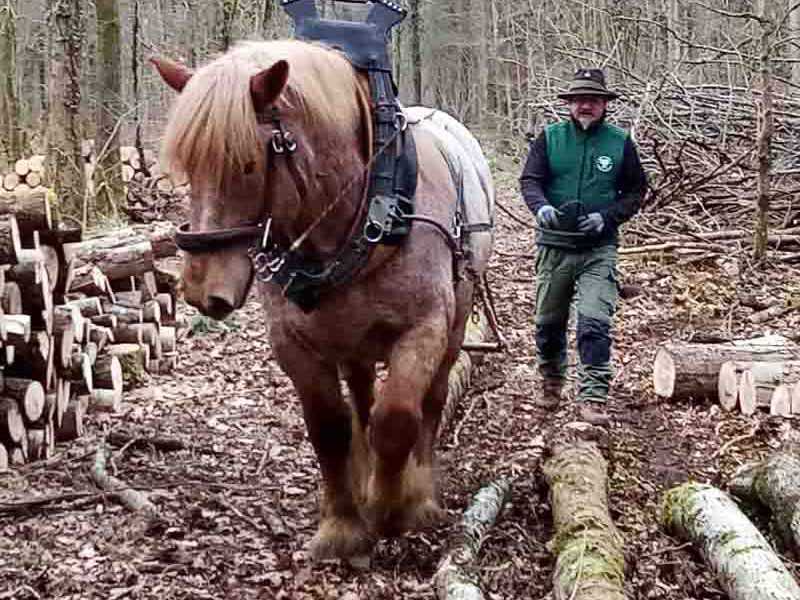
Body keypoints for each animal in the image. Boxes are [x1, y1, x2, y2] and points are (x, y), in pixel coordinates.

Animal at [152, 39, 494, 560]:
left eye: (248, 164)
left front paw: (391, 509)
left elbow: (398, 418)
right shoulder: (293, 342)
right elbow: (329, 428)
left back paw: (417, 492)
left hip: (454, 318)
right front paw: (343, 525)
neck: (369, 215)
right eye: (190, 168)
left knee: (431, 401)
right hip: (351, 339)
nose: (200, 289)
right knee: (362, 395)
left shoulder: (425, 328)